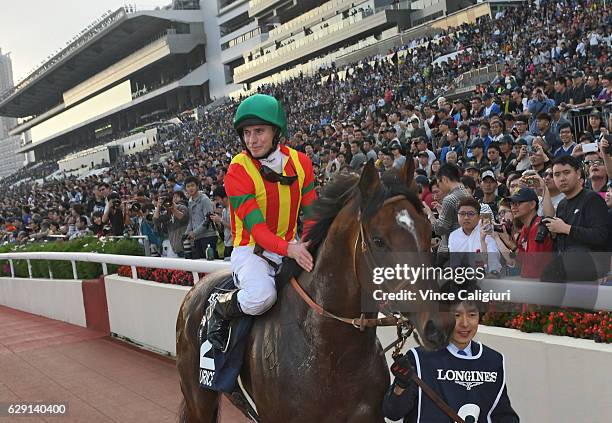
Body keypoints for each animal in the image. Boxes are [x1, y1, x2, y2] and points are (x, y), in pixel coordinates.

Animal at [176, 161, 454, 422]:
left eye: (428, 231)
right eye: (378, 240)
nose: (439, 325)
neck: (333, 353)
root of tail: (195, 291)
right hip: (199, 399)